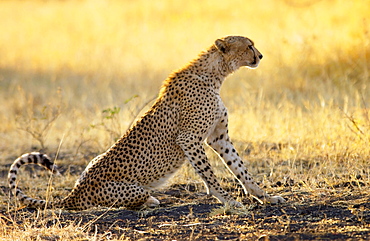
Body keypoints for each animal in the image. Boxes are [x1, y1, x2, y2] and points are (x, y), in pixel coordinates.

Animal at [7, 35, 286, 209]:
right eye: (249, 45)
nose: (261, 55)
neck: (216, 74)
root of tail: (75, 193)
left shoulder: (219, 137)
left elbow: (240, 168)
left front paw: (265, 196)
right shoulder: (190, 139)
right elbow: (210, 174)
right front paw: (228, 201)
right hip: (134, 189)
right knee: (122, 200)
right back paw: (150, 202)